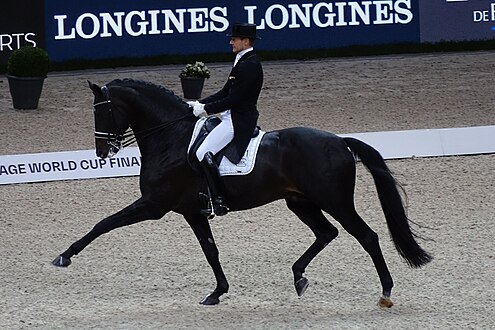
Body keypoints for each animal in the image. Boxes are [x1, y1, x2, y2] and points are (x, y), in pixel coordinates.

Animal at [49, 78, 430, 306]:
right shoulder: (192, 211)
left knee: (366, 236)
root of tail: (339, 141)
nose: (102, 152)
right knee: (326, 233)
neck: (170, 138)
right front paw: (217, 292)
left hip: (333, 200)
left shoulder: (154, 204)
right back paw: (298, 277)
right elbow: (210, 251)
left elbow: (104, 223)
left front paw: (64, 256)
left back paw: (385, 291)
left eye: (102, 111)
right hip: (300, 202)